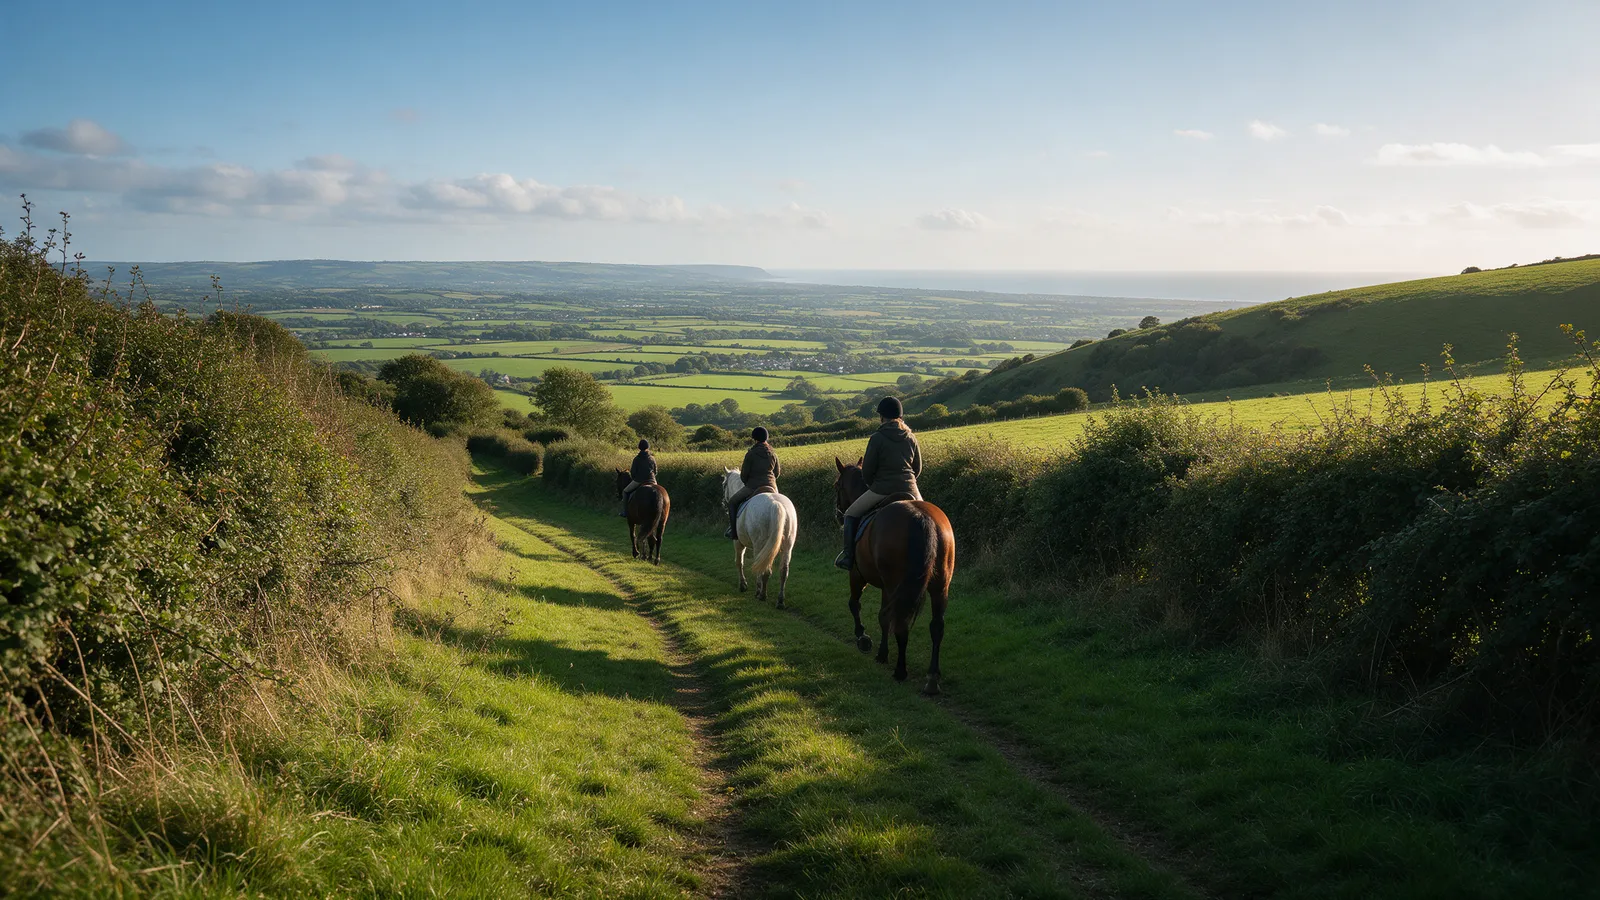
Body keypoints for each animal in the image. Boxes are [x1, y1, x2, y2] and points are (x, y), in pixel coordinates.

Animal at [721, 469, 798, 607]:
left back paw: (761, 594)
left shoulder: (738, 542)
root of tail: (776, 505)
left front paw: (743, 586)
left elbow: (739, 562)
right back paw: (780, 601)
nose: (723, 503)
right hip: (787, 547)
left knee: (763, 569)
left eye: (724, 485)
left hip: (759, 545)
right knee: (783, 571)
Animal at [833, 457, 956, 694]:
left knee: (898, 622)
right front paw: (881, 652)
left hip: (895, 585)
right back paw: (932, 678)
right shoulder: (886, 587)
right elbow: (883, 617)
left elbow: (856, 605)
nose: (838, 515)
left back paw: (900, 671)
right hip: (939, 587)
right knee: (936, 626)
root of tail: (923, 517)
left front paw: (864, 639)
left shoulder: (857, 575)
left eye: (837, 486)